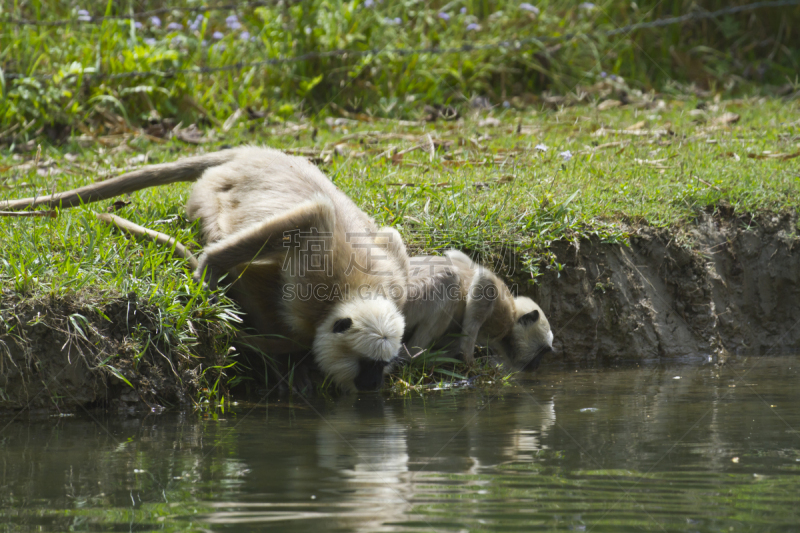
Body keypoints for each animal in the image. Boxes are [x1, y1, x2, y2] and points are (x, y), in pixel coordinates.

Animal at [3, 145, 410, 390]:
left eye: (383, 364)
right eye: (367, 365)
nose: (375, 383)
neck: (354, 291)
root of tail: (256, 153)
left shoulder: (396, 278)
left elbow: (390, 238)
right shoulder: (313, 284)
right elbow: (315, 216)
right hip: (207, 195)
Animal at [404, 249, 552, 370]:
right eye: (543, 351)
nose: (537, 365)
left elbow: (458, 256)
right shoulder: (503, 318)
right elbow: (485, 280)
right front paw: (470, 361)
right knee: (451, 278)